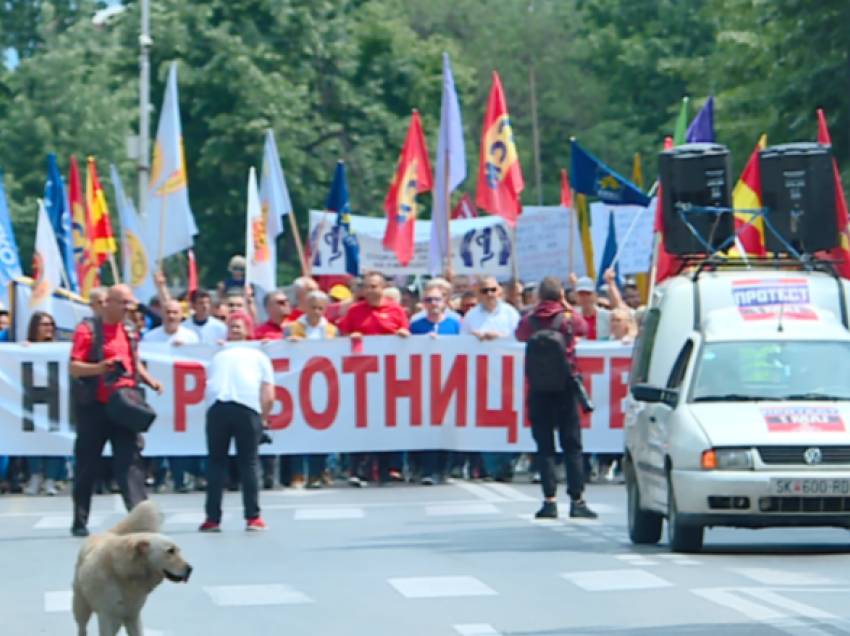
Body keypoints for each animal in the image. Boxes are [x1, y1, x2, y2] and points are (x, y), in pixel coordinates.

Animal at [71, 502, 192, 636]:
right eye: (170, 551)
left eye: (178, 550)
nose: (190, 569)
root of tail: (105, 533)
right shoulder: (107, 617)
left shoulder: (133, 616)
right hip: (81, 606)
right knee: (82, 626)